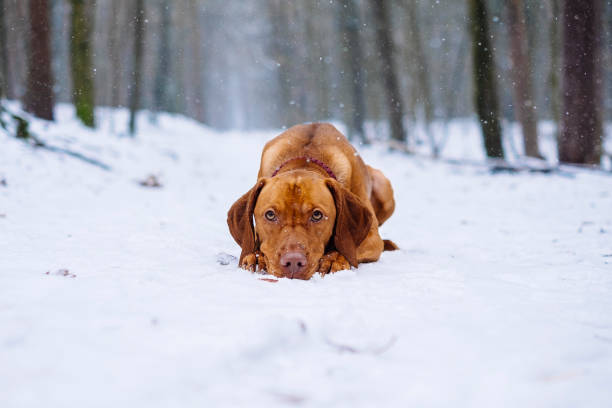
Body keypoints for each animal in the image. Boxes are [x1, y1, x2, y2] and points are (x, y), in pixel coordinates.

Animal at [226, 122, 396, 278]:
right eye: (270, 215)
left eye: (317, 215)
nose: (293, 261)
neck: (306, 159)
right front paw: (256, 256)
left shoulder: (372, 238)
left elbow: (349, 246)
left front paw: (334, 259)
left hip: (383, 185)